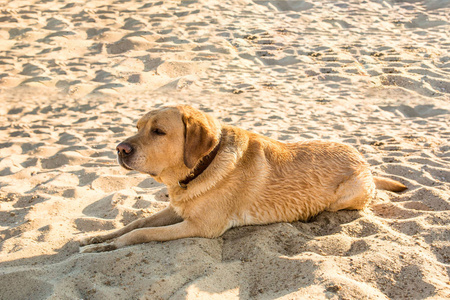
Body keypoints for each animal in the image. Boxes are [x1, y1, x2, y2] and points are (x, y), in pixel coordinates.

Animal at [78, 104, 408, 252]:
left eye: (158, 131)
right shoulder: (177, 209)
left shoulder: (202, 227)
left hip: (347, 195)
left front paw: (103, 248)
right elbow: (137, 223)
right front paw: (99, 238)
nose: (120, 149)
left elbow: (141, 234)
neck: (204, 164)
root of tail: (365, 163)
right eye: (137, 127)